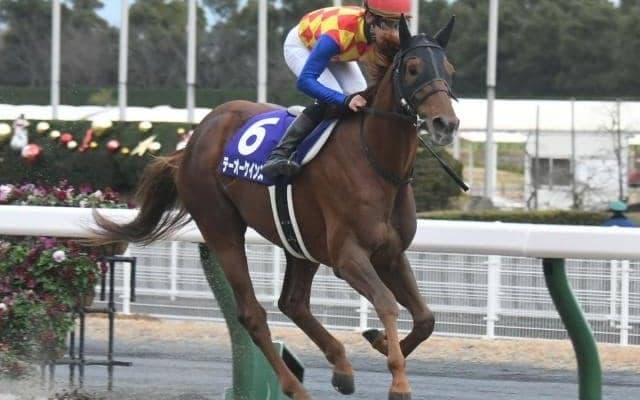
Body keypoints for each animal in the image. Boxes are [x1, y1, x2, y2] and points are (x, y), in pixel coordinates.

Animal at [93, 16, 459, 400]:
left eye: (449, 69)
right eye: (414, 68)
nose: (446, 124)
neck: (375, 160)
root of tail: (193, 141)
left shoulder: (391, 254)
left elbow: (426, 318)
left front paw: (380, 343)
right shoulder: (348, 257)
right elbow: (387, 303)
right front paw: (399, 381)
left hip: (300, 240)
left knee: (293, 302)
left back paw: (341, 367)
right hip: (221, 229)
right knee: (253, 313)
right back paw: (296, 387)